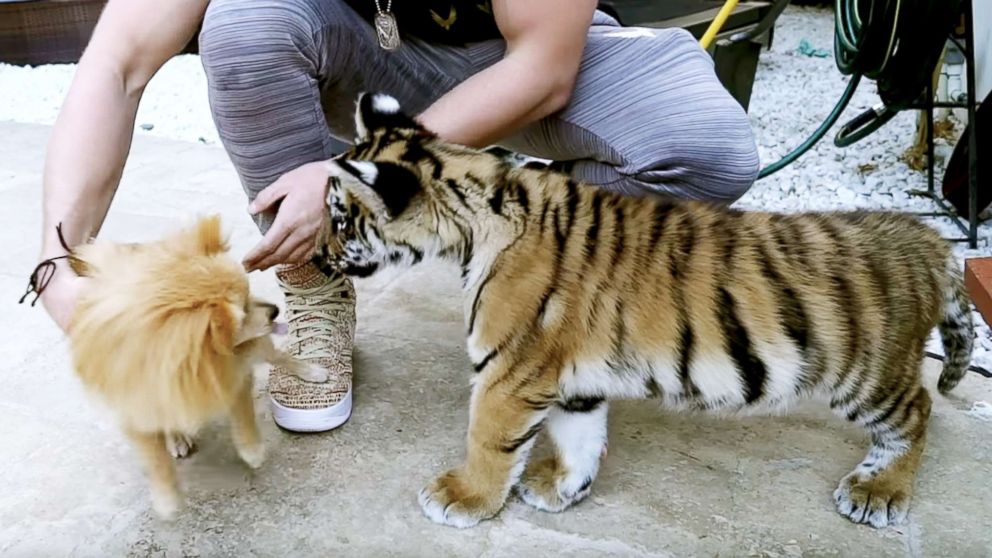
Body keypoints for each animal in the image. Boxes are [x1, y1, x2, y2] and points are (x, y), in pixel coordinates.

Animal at [65, 214, 326, 520]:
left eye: (249, 293)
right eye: (243, 314)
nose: (274, 310)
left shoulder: (234, 378)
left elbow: (244, 416)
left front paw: (252, 450)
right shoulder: (136, 407)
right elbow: (154, 457)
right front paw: (166, 497)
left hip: (258, 348)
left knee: (279, 356)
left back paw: (312, 372)